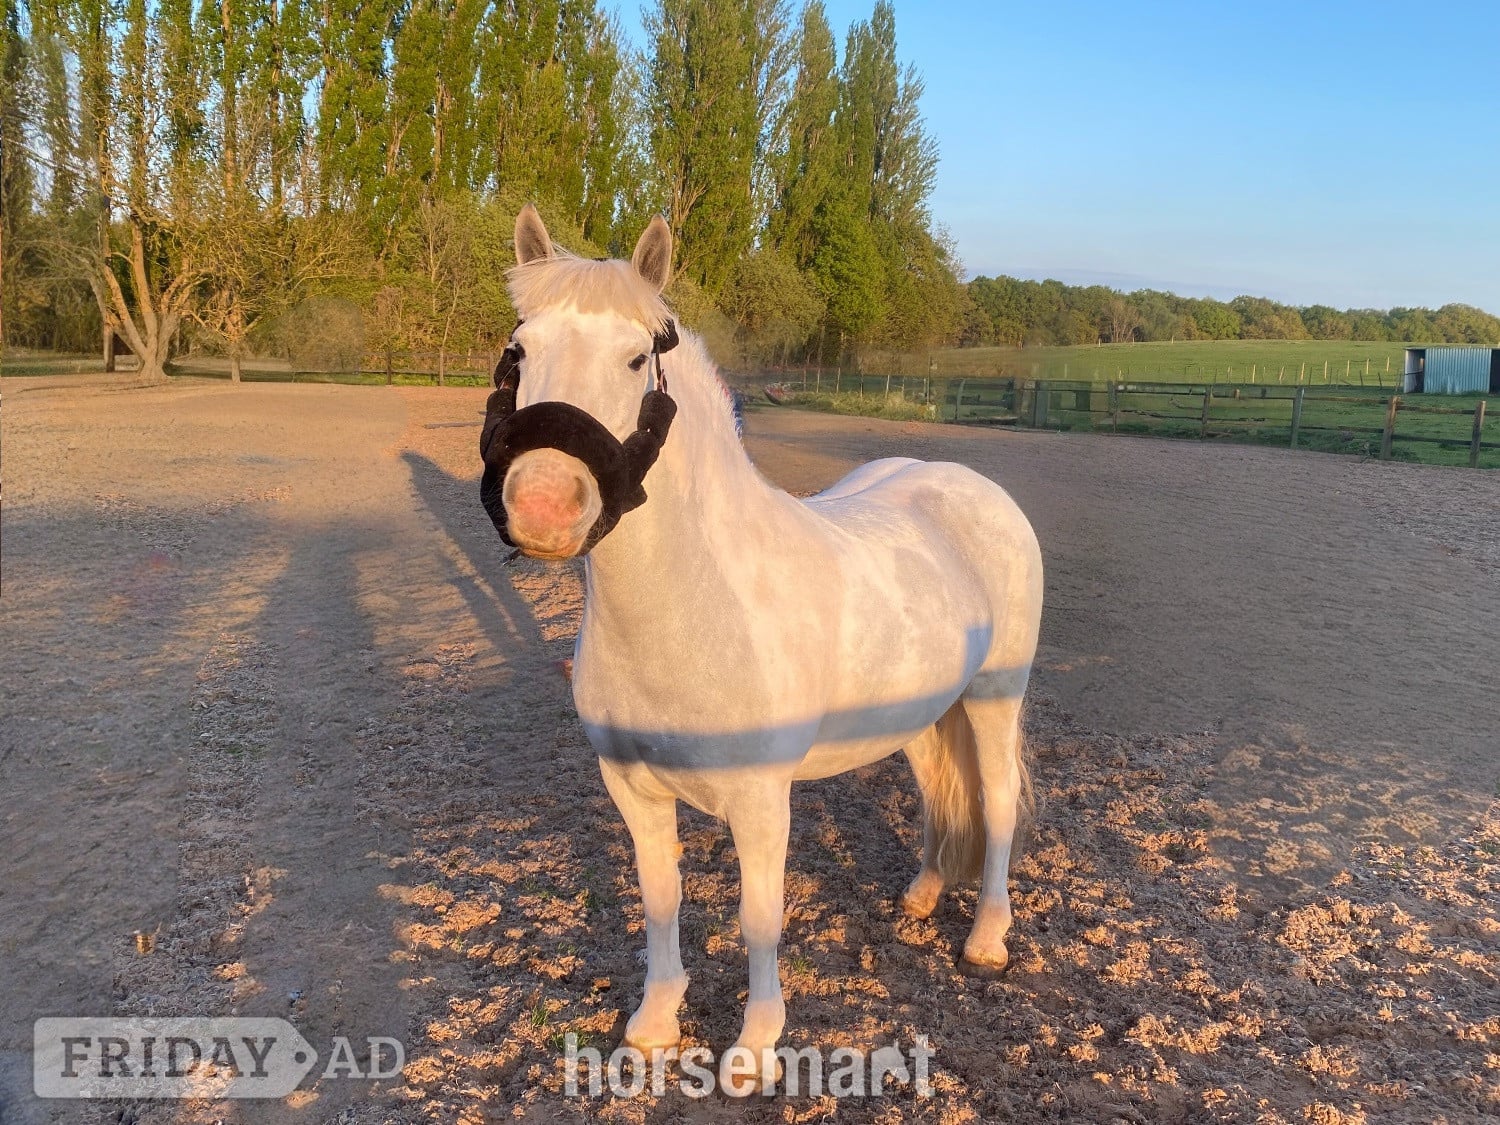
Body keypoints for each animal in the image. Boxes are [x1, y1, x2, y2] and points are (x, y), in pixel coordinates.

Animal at [481, 204, 1044, 1095]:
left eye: (635, 358)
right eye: (521, 350)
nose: (542, 505)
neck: (698, 605)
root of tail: (971, 488)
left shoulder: (760, 800)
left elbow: (757, 917)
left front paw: (753, 1047)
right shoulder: (632, 788)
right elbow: (661, 896)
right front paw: (653, 1025)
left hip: (995, 696)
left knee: (995, 803)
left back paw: (987, 937)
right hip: (925, 710)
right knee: (936, 791)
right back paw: (921, 896)